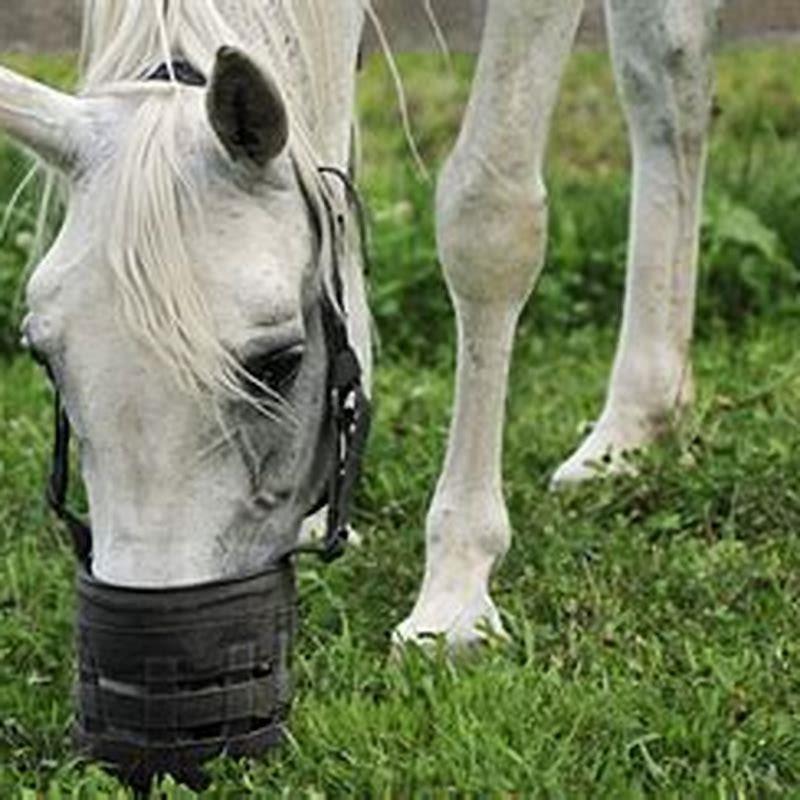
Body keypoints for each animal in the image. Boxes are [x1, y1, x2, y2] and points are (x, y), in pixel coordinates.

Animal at [0, 0, 717, 654]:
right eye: (43, 356)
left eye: (279, 362)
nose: (152, 632)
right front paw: (320, 514)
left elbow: (488, 218)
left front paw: (455, 591)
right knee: (668, 83)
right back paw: (636, 423)